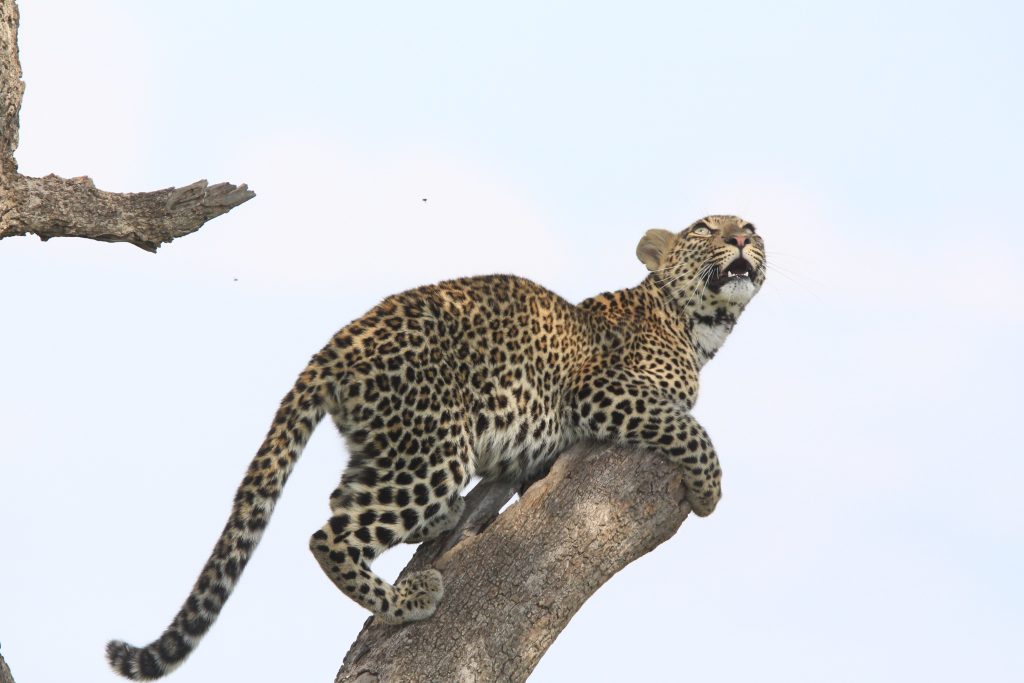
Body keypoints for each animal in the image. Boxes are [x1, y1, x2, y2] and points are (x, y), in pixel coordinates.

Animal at [106, 214, 765, 680]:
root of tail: (337, 343)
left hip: (392, 442)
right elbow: (689, 427)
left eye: (751, 227)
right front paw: (709, 490)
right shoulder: (600, 390)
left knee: (348, 501)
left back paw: (442, 528)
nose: (743, 235)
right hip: (433, 446)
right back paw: (410, 598)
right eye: (705, 227)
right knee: (330, 535)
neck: (699, 329)